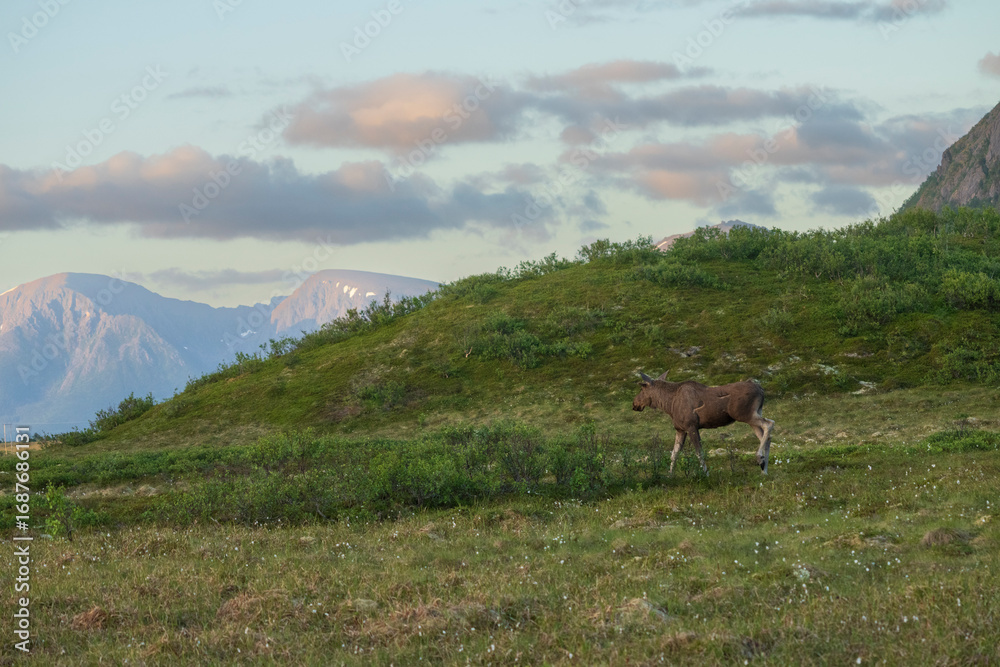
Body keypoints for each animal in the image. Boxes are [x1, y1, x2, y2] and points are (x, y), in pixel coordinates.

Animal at [632, 371, 774, 475]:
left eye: (641, 389)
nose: (634, 404)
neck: (669, 405)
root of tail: (761, 389)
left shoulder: (691, 426)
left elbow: (699, 452)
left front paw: (706, 474)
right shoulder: (680, 429)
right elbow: (674, 454)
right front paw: (669, 475)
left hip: (744, 414)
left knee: (769, 423)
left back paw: (760, 458)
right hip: (753, 414)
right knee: (765, 436)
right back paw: (764, 470)